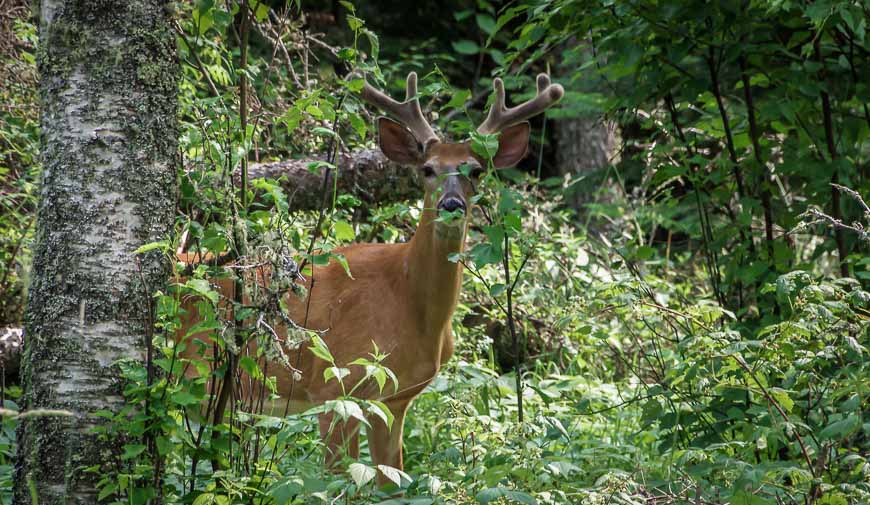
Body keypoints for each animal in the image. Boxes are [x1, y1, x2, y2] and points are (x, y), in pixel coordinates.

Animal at [177, 72, 564, 484]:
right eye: (427, 169)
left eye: (475, 171)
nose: (451, 205)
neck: (409, 304)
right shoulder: (333, 387)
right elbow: (336, 480)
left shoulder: (394, 399)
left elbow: (392, 482)